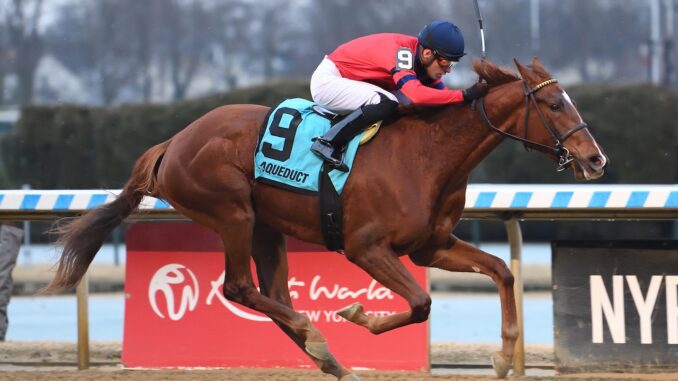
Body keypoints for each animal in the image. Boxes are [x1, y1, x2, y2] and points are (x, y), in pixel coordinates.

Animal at [47, 58, 612, 378]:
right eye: (555, 104)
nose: (595, 159)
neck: (429, 155)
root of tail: (172, 143)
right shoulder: (366, 246)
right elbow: (421, 303)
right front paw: (359, 315)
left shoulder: (431, 245)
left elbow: (501, 271)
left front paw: (501, 357)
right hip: (232, 212)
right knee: (239, 287)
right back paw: (319, 339)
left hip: (267, 228)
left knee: (272, 293)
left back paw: (330, 360)